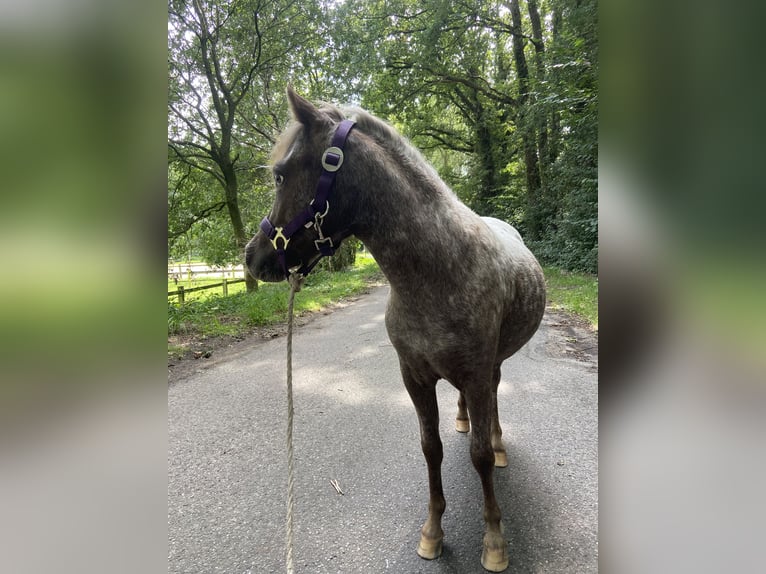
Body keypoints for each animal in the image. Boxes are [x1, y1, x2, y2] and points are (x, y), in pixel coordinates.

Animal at [246, 88, 544, 572]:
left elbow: (479, 456)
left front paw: (494, 540)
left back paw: (499, 443)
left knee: (495, 402)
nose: (253, 257)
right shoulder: (414, 377)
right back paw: (463, 419)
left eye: (280, 174)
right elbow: (431, 448)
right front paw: (432, 531)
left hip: (492, 366)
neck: (440, 271)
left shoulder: (476, 374)